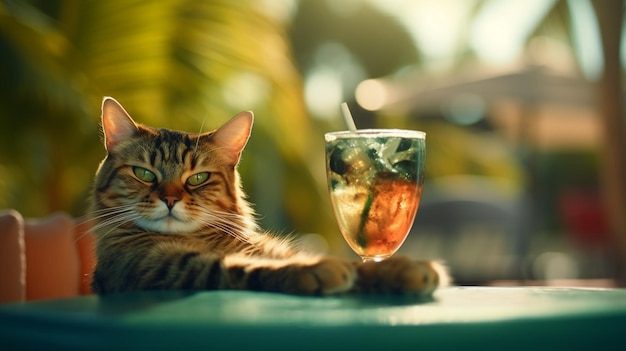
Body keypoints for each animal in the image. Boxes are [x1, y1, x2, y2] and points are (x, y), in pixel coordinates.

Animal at [89, 97, 448, 296]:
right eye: (145, 174)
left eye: (198, 178)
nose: (170, 199)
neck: (197, 239)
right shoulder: (163, 268)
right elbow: (249, 268)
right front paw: (317, 270)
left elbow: (359, 265)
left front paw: (398, 271)